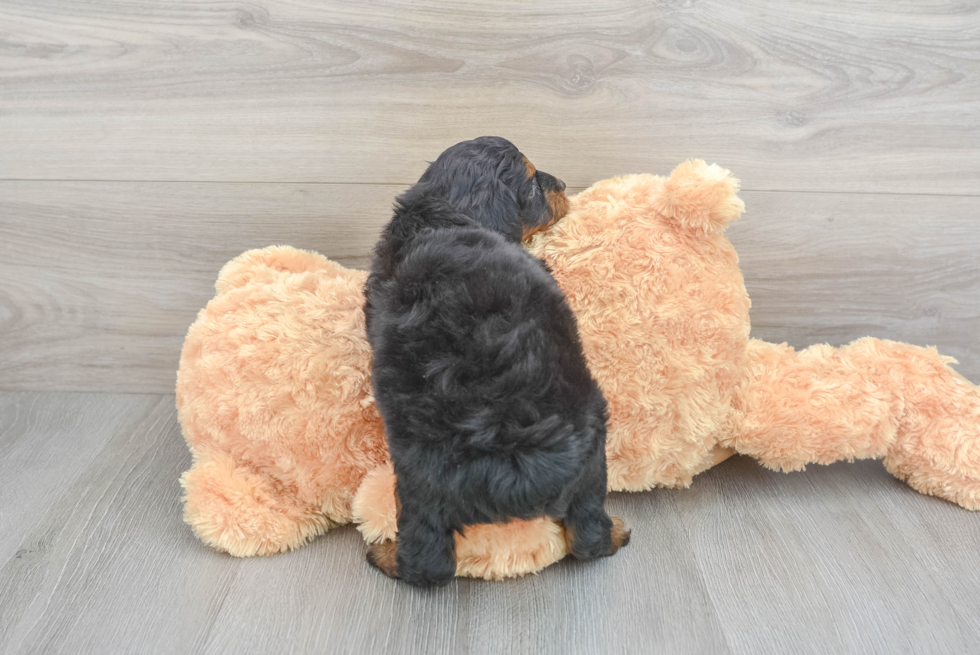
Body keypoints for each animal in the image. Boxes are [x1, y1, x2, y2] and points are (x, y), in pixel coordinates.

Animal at [362, 136, 628, 588]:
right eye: (533, 183)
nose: (562, 184)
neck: (442, 216)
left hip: (417, 478)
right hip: (592, 449)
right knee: (585, 534)